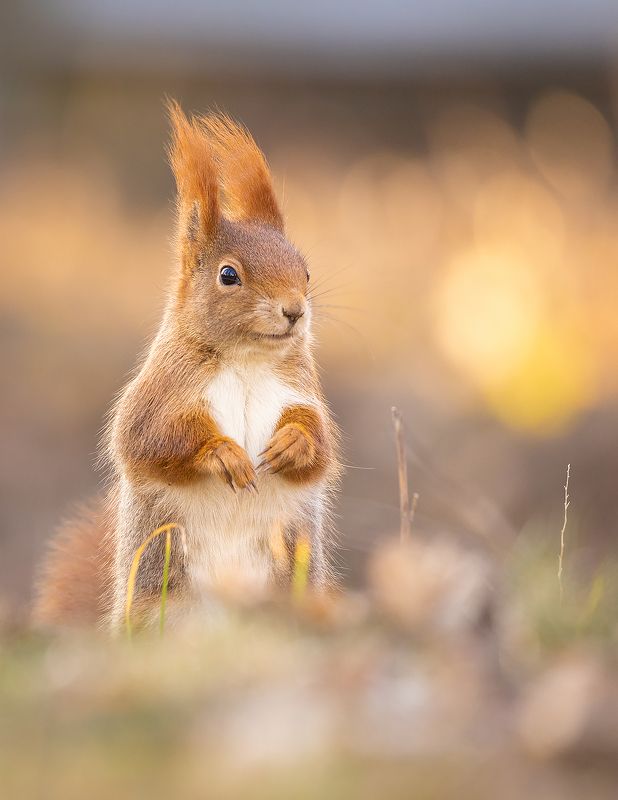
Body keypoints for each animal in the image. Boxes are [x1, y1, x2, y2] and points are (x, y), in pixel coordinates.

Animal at [34, 100, 341, 630]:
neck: (246, 360)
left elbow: (320, 444)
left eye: (305, 270)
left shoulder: (300, 389)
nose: (294, 311)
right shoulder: (161, 391)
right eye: (228, 275)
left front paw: (293, 443)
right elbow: (150, 437)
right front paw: (222, 453)